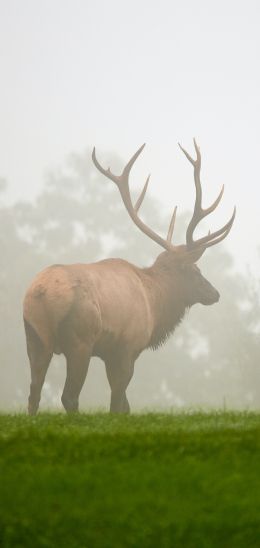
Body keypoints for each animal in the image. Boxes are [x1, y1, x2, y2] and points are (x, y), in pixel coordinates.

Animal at [23, 139, 236, 414]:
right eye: (194, 270)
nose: (215, 293)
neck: (155, 303)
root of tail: (40, 293)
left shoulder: (112, 353)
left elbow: (125, 405)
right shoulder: (127, 347)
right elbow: (118, 403)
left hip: (34, 337)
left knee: (34, 394)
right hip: (80, 339)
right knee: (68, 396)